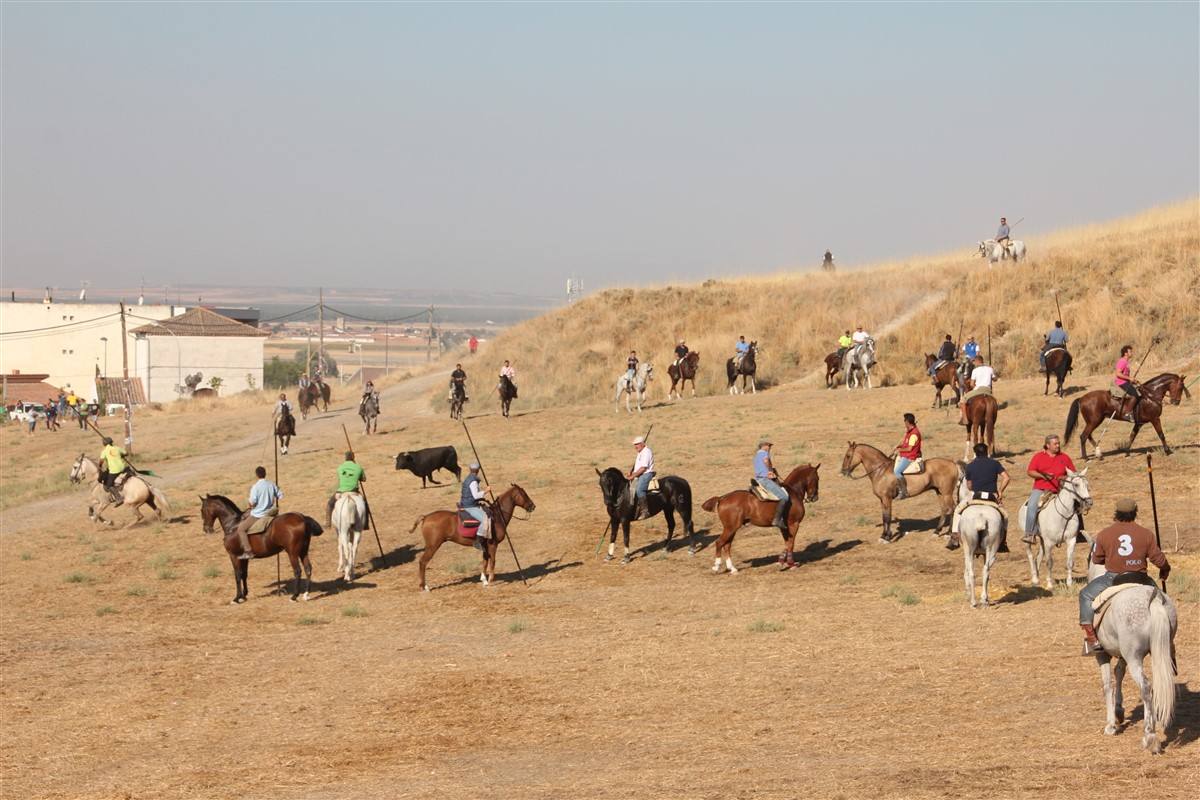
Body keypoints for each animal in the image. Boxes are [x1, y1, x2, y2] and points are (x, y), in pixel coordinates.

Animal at [955, 470, 1003, 606]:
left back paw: (973, 601)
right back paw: (983, 600)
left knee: (971, 572)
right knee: (985, 571)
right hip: (991, 549)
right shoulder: (984, 554)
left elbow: (966, 572)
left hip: (969, 549)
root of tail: (981, 517)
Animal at [1084, 561, 1176, 753]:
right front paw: (1119, 712)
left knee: (1146, 687)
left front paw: (1111, 725)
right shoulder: (1123, 655)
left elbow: (1107, 685)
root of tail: (1153, 599)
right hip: (1159, 651)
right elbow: (1119, 673)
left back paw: (1150, 736)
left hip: (1134, 658)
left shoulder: (1102, 655)